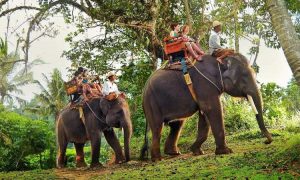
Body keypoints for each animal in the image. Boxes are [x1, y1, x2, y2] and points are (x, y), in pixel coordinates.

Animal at [141, 54, 272, 161]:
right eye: (244, 76)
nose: (266, 141)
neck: (219, 61)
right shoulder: (204, 84)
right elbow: (212, 109)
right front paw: (226, 152)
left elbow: (204, 114)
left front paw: (197, 151)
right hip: (151, 102)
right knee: (157, 127)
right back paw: (157, 159)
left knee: (177, 124)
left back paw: (174, 153)